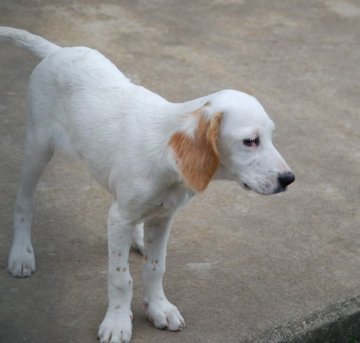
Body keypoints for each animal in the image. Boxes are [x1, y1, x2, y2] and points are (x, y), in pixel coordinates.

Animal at [0, 27, 296, 343]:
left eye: (271, 136)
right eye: (250, 141)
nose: (289, 179)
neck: (167, 162)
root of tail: (57, 51)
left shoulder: (163, 217)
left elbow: (156, 267)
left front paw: (158, 307)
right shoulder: (118, 218)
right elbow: (120, 277)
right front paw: (117, 321)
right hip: (38, 146)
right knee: (24, 201)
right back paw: (21, 253)